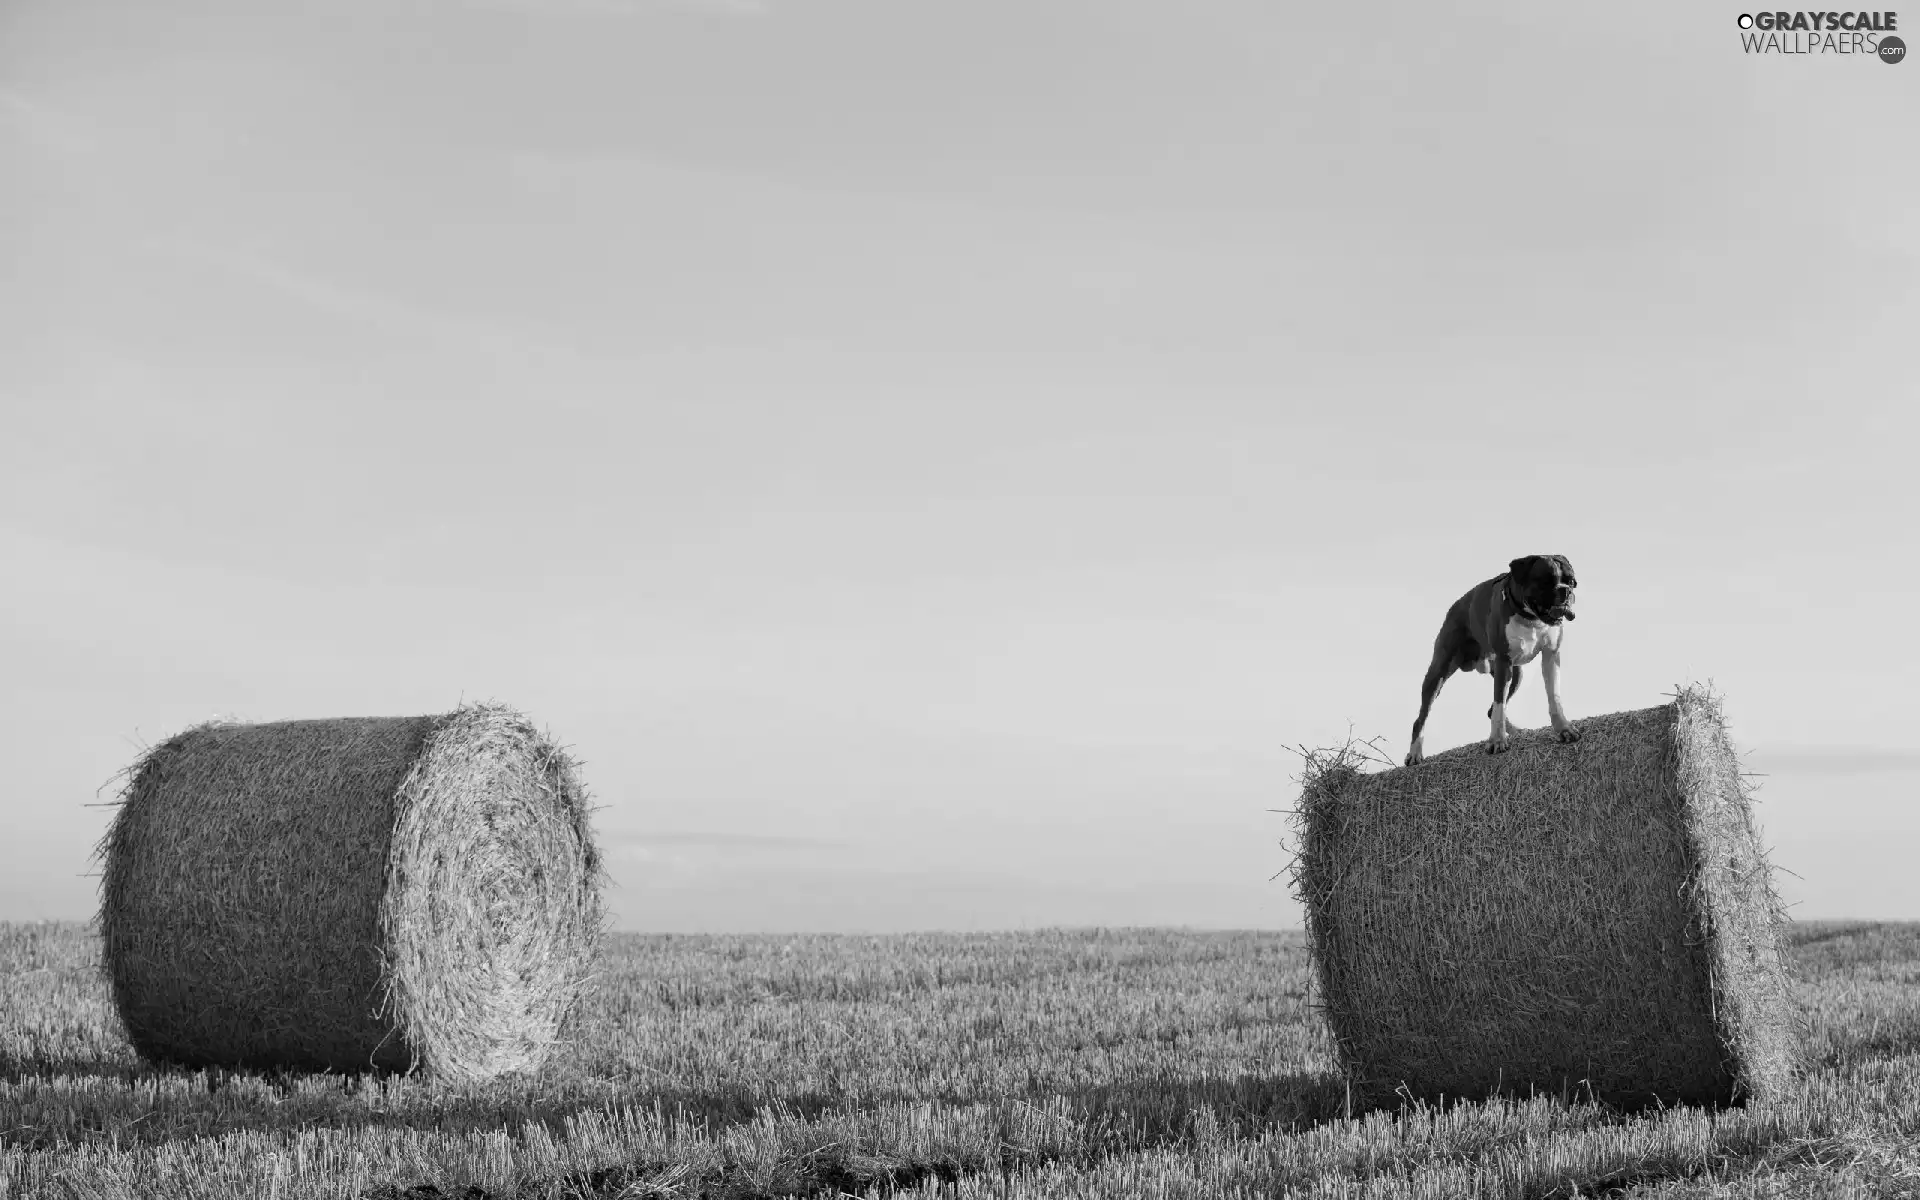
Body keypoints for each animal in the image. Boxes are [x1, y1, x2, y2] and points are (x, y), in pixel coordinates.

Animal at [1405, 552, 1582, 768]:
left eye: (1571, 582)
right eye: (1546, 581)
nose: (1565, 591)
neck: (1530, 618)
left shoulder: (1550, 656)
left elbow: (1554, 697)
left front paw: (1564, 729)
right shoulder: (1503, 662)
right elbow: (1499, 705)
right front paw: (1497, 741)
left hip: (1515, 674)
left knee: (1493, 709)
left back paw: (1518, 732)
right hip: (1439, 672)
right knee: (1421, 717)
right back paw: (1414, 753)